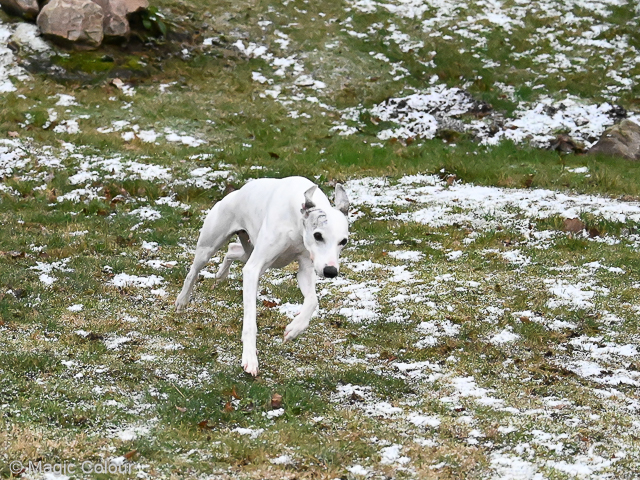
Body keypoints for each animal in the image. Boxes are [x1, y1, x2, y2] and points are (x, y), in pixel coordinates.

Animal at [175, 175, 350, 376]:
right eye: (318, 235)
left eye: (343, 241)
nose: (331, 272)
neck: (296, 219)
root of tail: (234, 193)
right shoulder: (253, 270)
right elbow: (250, 322)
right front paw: (250, 359)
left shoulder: (306, 268)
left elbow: (312, 300)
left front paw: (294, 329)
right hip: (210, 246)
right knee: (193, 272)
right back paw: (182, 300)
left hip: (249, 251)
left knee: (232, 249)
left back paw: (221, 274)